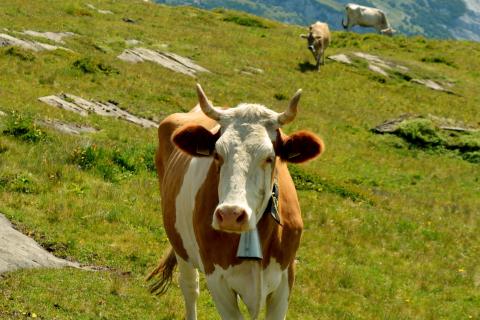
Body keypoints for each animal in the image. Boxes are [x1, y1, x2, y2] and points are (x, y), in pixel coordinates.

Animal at [148, 84, 324, 318]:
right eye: (217, 154)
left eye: (270, 157)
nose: (231, 214)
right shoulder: (217, 280)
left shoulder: (286, 279)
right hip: (180, 245)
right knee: (190, 287)